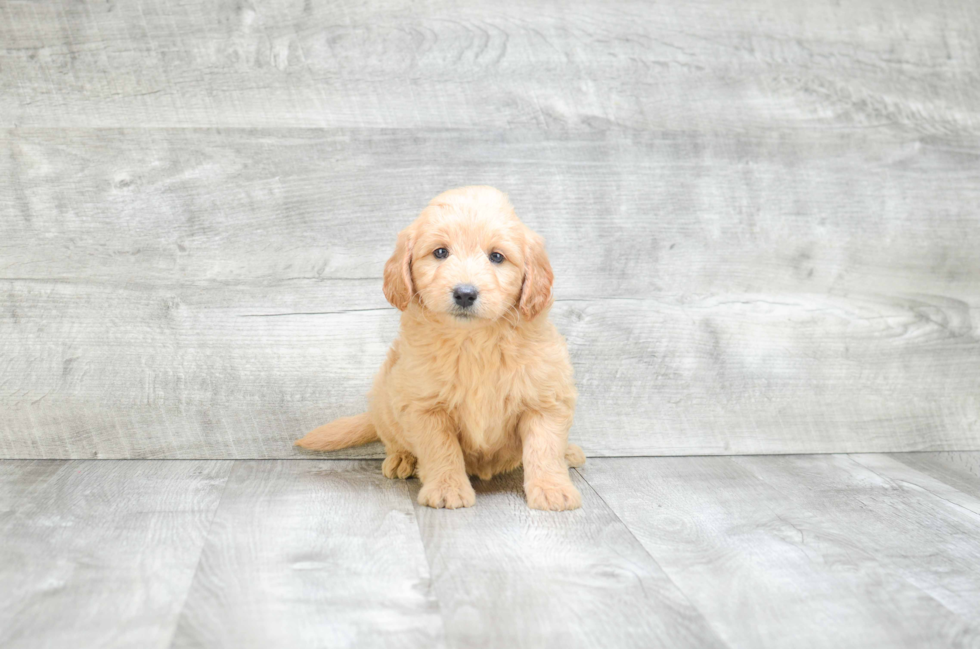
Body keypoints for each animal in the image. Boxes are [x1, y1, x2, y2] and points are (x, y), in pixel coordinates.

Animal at [294, 185, 584, 508]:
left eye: (497, 257)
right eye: (441, 252)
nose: (465, 293)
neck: (473, 342)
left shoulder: (545, 398)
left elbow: (544, 448)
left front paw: (552, 489)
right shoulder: (424, 405)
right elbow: (441, 450)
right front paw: (447, 489)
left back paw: (569, 452)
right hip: (385, 397)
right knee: (393, 438)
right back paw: (402, 459)